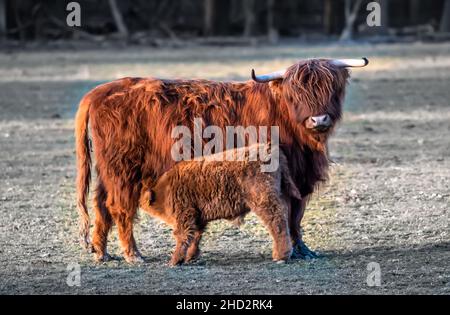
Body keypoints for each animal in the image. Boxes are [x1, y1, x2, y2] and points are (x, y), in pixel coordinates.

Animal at [75, 57, 368, 264]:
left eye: (330, 89)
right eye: (296, 93)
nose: (318, 119)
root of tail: (101, 91)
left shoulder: (298, 176)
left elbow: (296, 214)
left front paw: (304, 250)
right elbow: (288, 212)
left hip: (108, 171)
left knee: (101, 205)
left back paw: (102, 252)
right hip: (123, 170)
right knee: (119, 207)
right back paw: (133, 255)